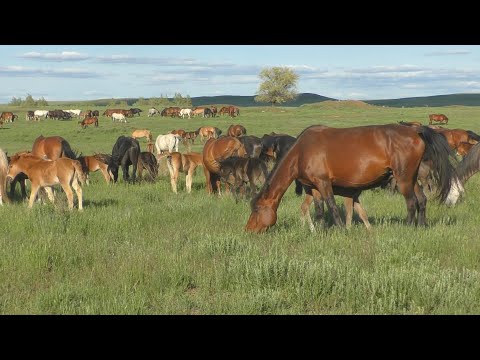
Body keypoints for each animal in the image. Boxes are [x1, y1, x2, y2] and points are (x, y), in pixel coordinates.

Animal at [246, 124, 460, 233]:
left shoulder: (324, 183)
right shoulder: (313, 187)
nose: (248, 230)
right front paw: (321, 230)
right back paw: (421, 226)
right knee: (422, 200)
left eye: (256, 209)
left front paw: (342, 230)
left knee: (411, 202)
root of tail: (415, 130)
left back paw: (408, 228)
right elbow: (319, 210)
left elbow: (331, 205)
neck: (302, 151)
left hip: (404, 179)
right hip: (412, 178)